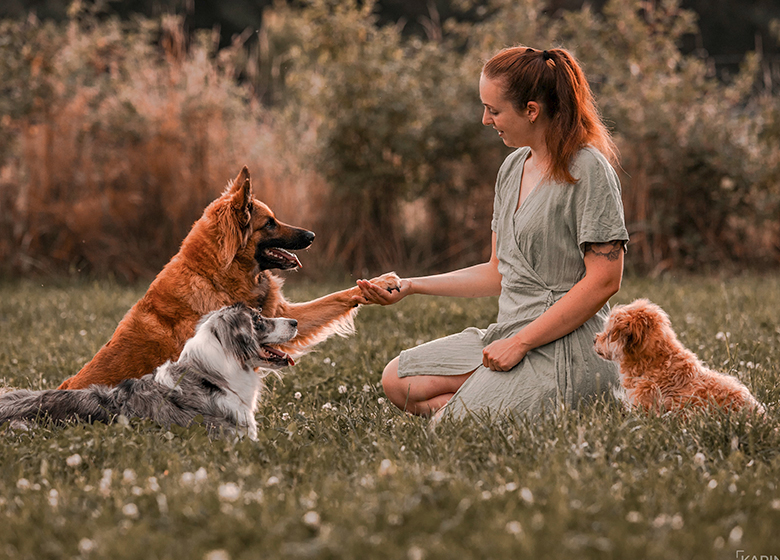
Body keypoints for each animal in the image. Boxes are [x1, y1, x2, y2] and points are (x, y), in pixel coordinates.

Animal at [60, 166, 400, 390]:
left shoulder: (285, 315)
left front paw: (380, 283)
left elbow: (337, 296)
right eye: (270, 223)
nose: (312, 236)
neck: (217, 277)